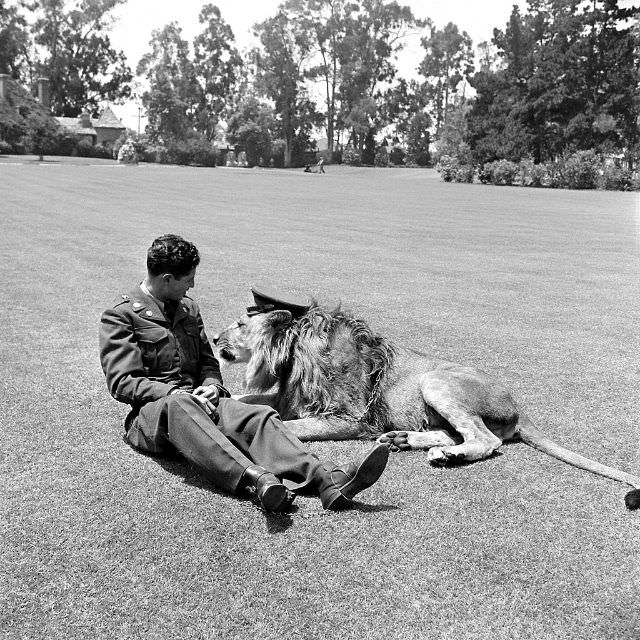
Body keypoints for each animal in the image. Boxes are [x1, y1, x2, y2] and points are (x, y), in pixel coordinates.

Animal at [215, 304, 640, 510]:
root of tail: (519, 407)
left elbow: (288, 426)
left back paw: (442, 455)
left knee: (486, 440)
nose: (215, 338)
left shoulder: (351, 420)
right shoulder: (286, 397)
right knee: (457, 433)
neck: (290, 355)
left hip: (435, 380)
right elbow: (247, 401)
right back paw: (406, 441)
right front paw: (217, 399)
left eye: (239, 325)